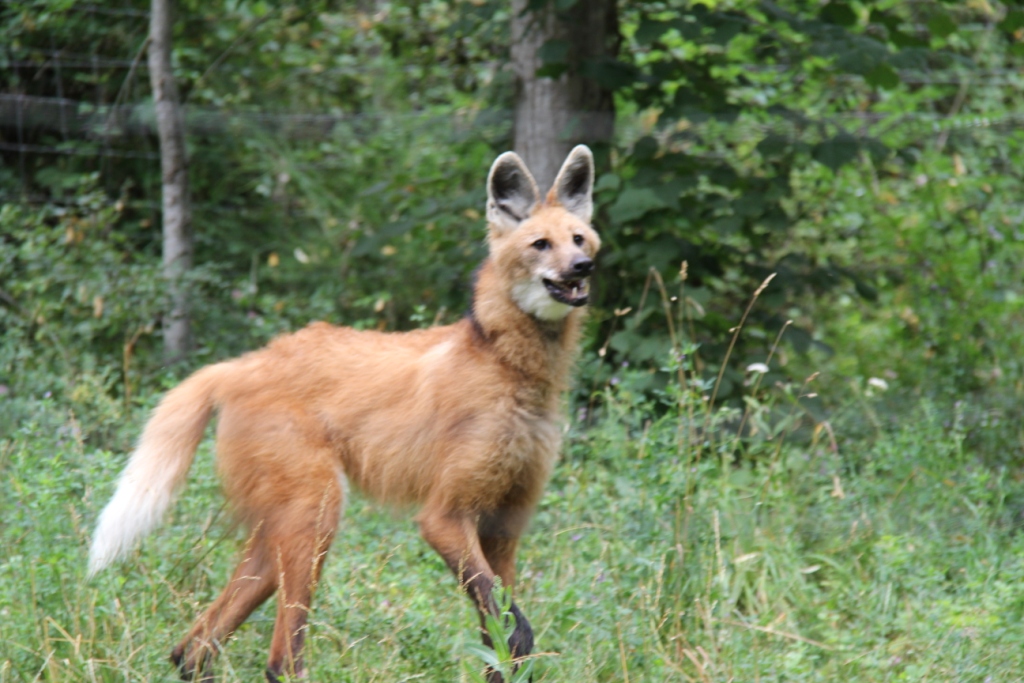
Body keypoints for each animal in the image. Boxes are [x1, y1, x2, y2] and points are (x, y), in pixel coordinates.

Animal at [88, 145, 600, 682]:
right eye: (541, 244)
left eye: (578, 238)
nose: (582, 267)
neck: (509, 367)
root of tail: (240, 365)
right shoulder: (444, 516)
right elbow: (512, 626)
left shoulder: (504, 523)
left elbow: (500, 643)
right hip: (316, 517)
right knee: (280, 659)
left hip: (282, 531)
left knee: (193, 647)